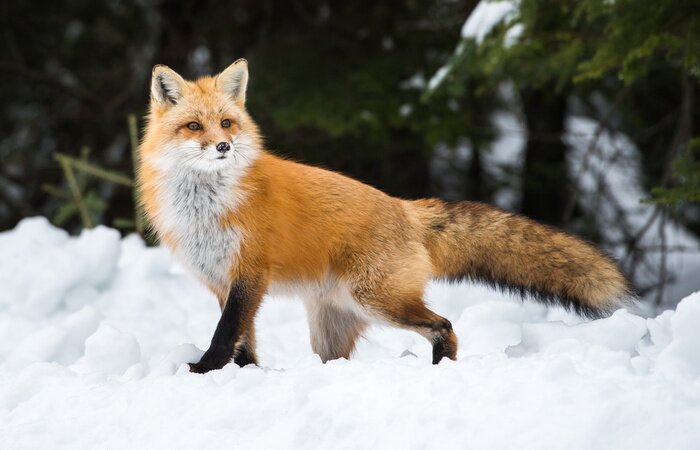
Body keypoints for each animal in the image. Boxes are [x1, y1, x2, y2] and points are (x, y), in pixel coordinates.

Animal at [137, 59, 633, 373]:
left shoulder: (249, 274)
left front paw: (204, 371)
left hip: (378, 299)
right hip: (333, 325)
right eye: (194, 126)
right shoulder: (222, 280)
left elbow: (226, 334)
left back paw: (441, 370)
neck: (206, 207)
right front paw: (243, 374)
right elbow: (242, 341)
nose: (223, 146)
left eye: (226, 123)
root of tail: (404, 207)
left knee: (445, 326)